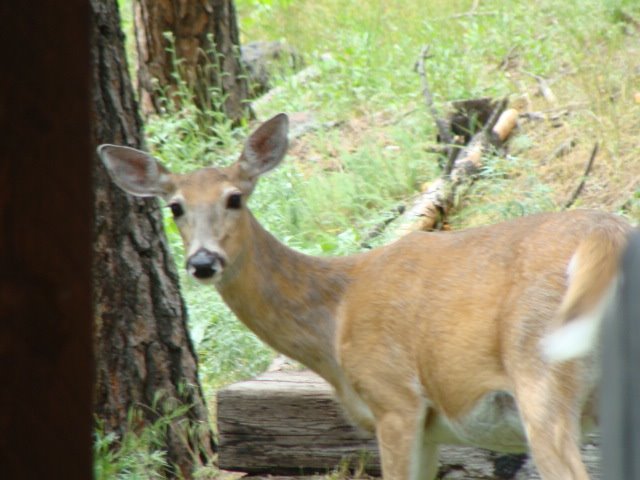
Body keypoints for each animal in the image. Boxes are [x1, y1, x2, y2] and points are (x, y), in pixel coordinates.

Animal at [99, 113, 632, 480]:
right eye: (175, 207)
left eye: (235, 198)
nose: (203, 262)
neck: (336, 316)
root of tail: (608, 236)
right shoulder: (430, 427)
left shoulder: (395, 398)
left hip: (541, 373)